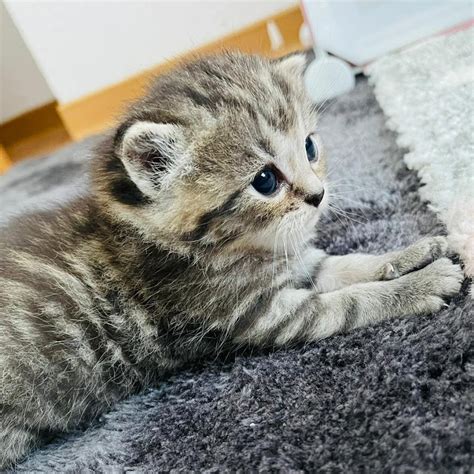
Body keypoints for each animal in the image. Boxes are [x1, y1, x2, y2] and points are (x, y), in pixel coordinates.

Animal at [0, 52, 463, 468]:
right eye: (265, 181)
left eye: (310, 147)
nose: (318, 195)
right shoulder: (260, 311)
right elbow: (351, 302)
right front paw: (421, 284)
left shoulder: (294, 265)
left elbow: (347, 264)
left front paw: (415, 251)